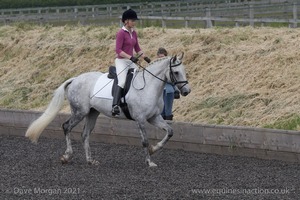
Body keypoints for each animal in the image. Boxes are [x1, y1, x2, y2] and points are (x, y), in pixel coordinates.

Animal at [25, 53, 190, 167]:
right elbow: (144, 141)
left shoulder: (154, 117)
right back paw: (67, 156)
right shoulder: (141, 119)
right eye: (176, 72)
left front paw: (153, 149)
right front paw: (149, 162)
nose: (186, 91)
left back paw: (90, 160)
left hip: (92, 113)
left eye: (184, 71)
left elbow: (170, 132)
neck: (148, 86)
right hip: (80, 112)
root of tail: (75, 79)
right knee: (66, 127)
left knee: (85, 134)